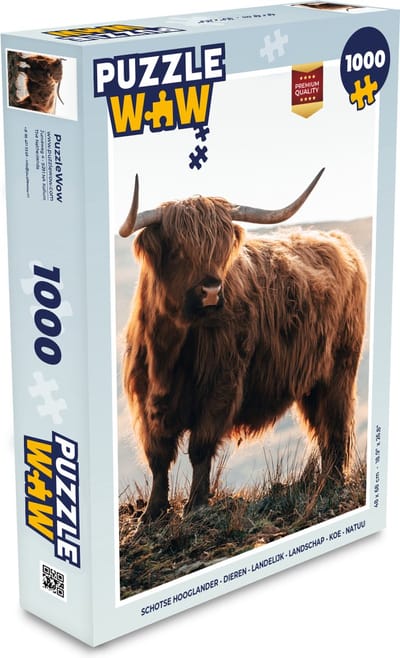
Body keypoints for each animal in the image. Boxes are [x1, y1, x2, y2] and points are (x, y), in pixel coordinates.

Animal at [120, 169, 367, 523]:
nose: (211, 290)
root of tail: (336, 239)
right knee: (322, 428)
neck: (170, 351)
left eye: (221, 250)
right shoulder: (146, 401)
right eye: (179, 250)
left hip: (340, 370)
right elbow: (158, 456)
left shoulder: (221, 387)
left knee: (334, 425)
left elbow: (200, 448)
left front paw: (196, 505)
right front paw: (152, 512)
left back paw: (330, 483)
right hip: (313, 382)